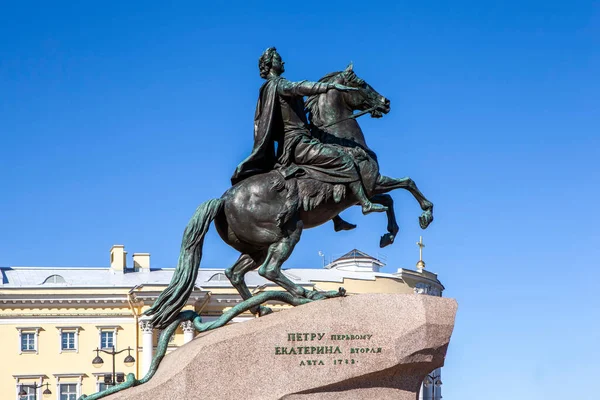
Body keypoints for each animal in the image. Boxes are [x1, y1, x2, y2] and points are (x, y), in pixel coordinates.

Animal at [145, 64, 436, 330]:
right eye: (362, 84)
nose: (385, 103)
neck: (344, 142)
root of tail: (223, 200)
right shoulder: (370, 182)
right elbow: (403, 186)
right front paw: (423, 214)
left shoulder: (366, 189)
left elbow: (392, 198)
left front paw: (388, 234)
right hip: (287, 232)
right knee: (269, 270)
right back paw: (308, 293)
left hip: (256, 247)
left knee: (235, 273)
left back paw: (263, 308)